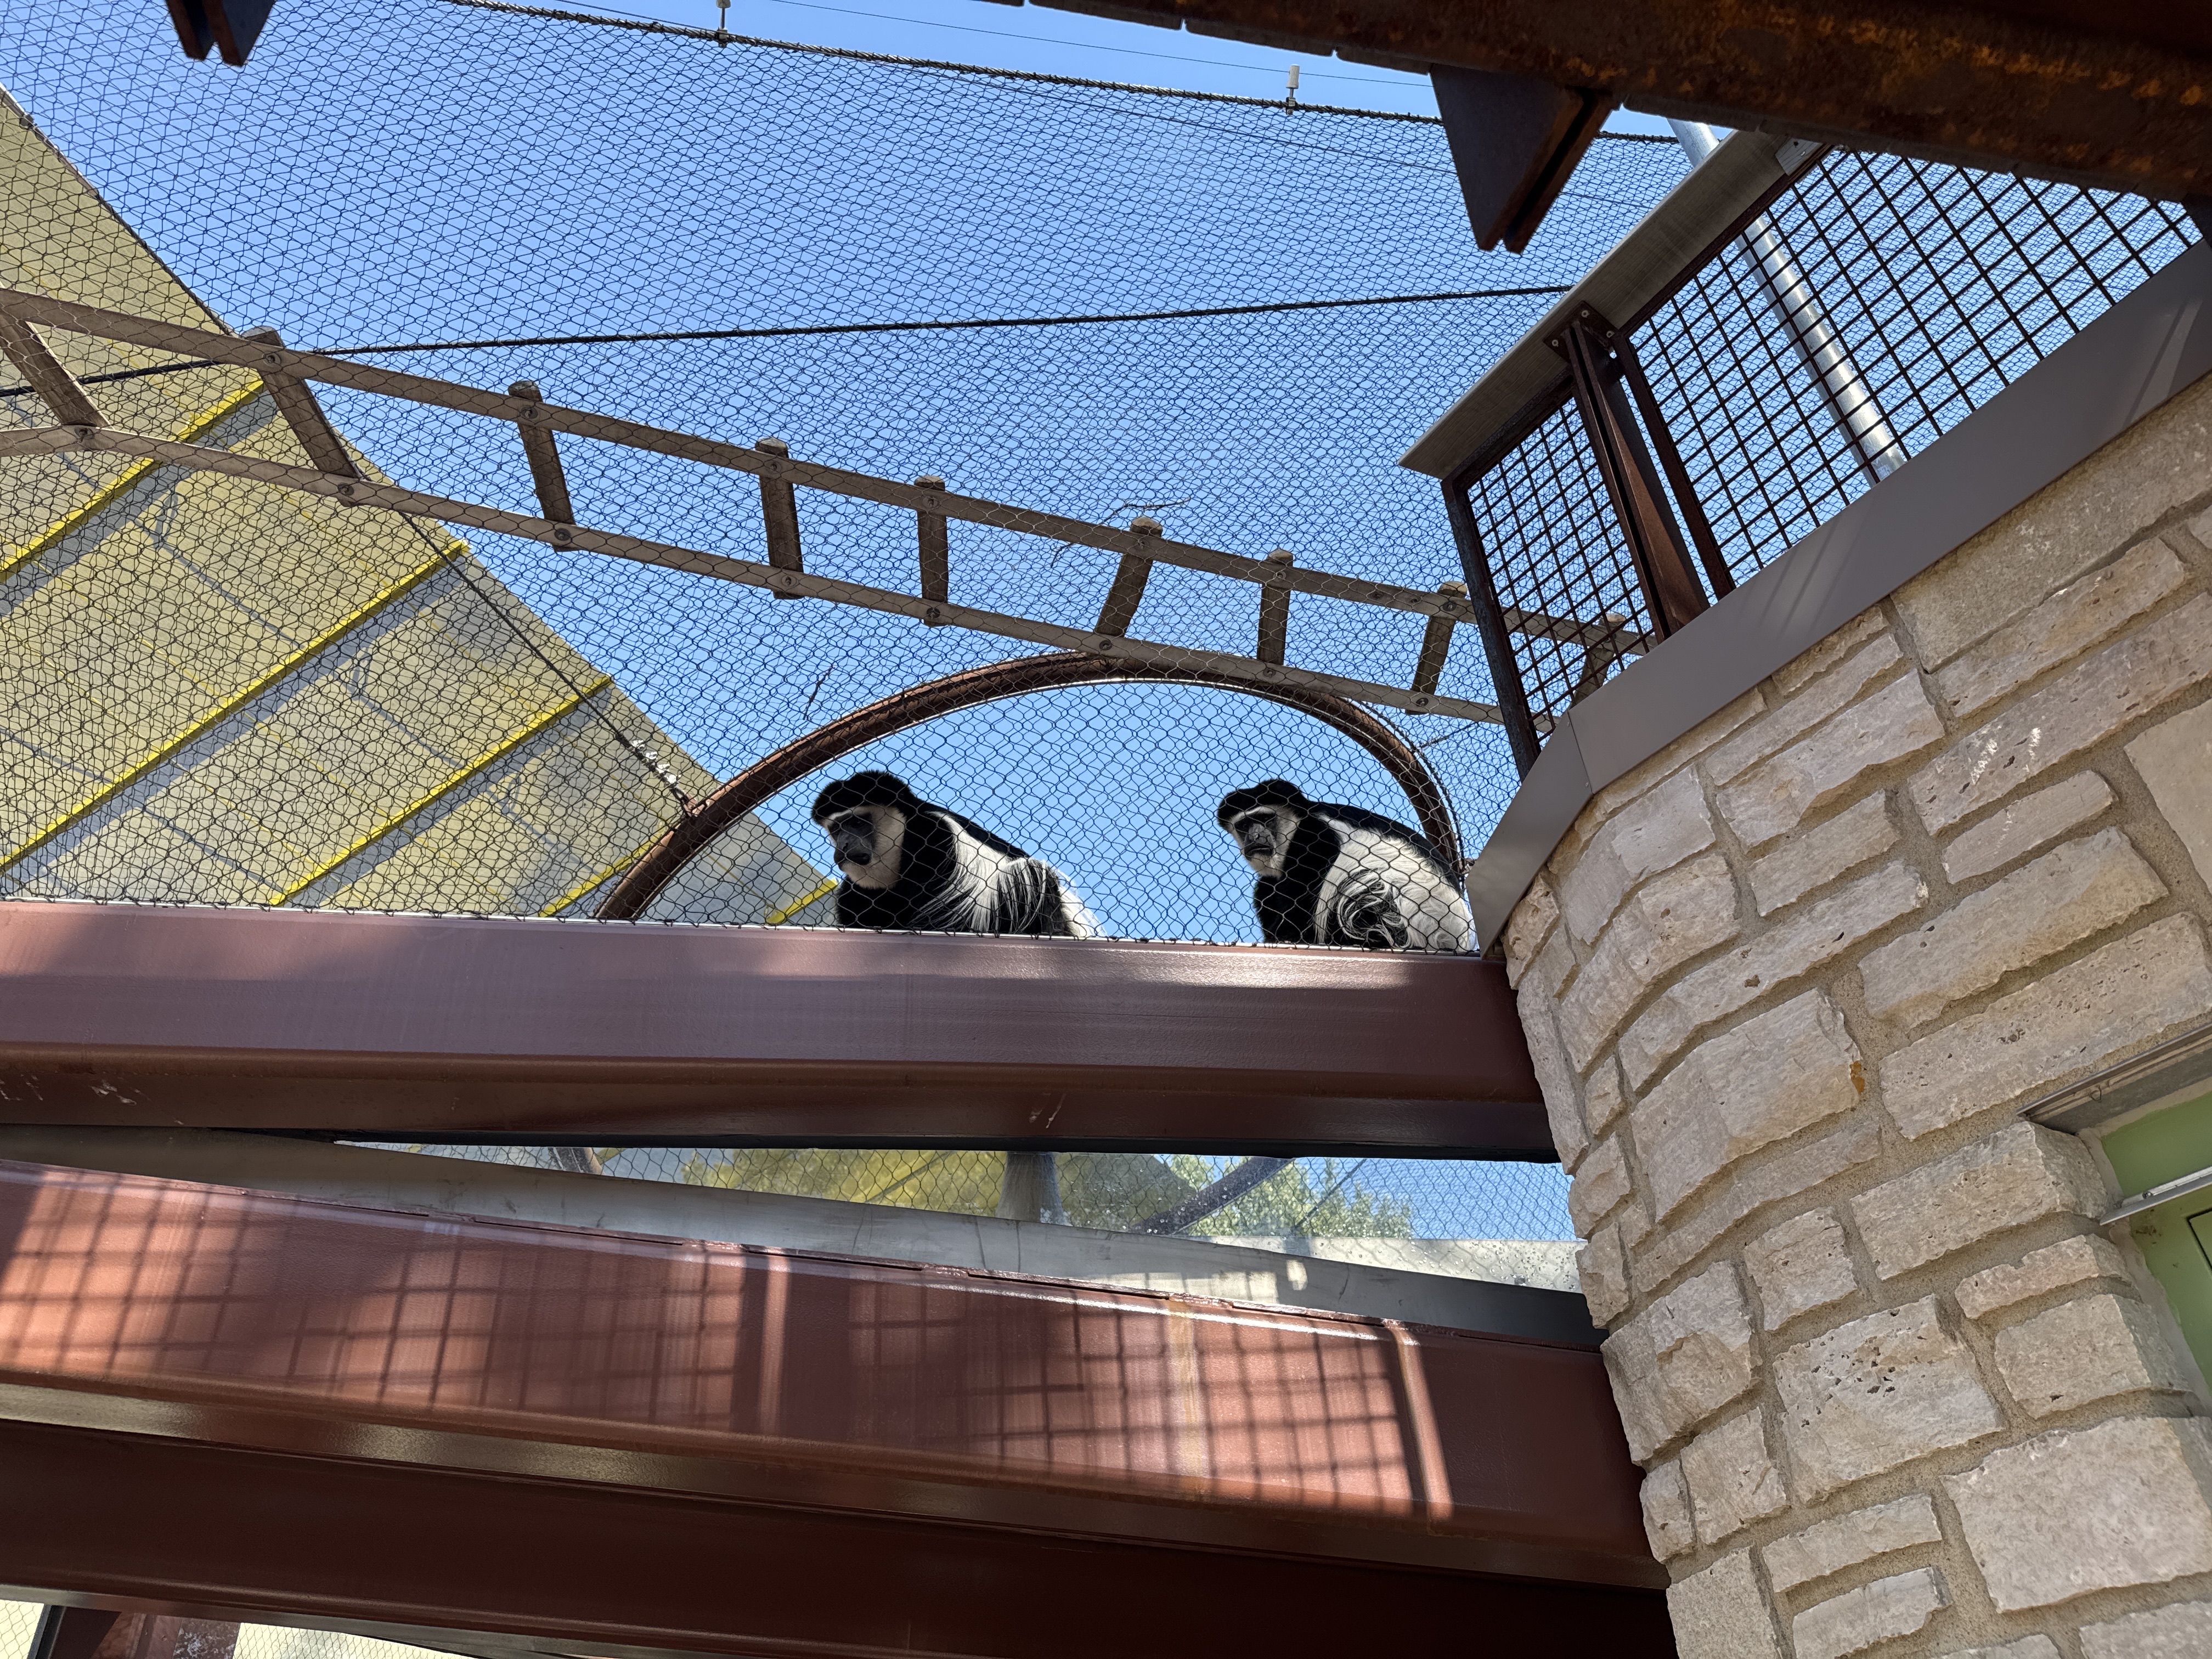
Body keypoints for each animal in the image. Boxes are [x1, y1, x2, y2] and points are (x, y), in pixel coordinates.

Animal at [1216, 779, 1471, 953]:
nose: (1256, 837)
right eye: (1244, 825)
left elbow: (1302, 908)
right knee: (1266, 887)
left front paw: (1293, 938)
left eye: (1266, 819)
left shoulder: (1313, 840)